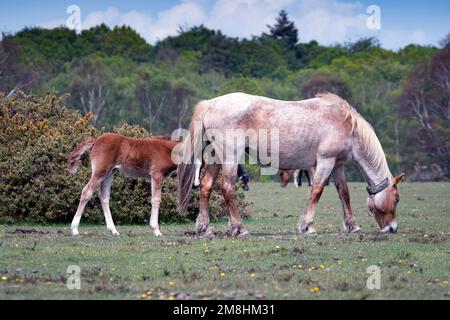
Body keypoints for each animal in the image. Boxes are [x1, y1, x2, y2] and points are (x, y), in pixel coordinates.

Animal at [178, 92, 406, 238]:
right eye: (396, 199)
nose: (393, 228)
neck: (345, 124)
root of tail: (210, 104)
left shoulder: (338, 165)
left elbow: (344, 193)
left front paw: (353, 226)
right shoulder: (325, 162)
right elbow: (317, 191)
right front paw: (308, 226)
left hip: (215, 158)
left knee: (206, 187)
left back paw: (205, 229)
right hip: (230, 158)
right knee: (227, 189)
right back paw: (239, 229)